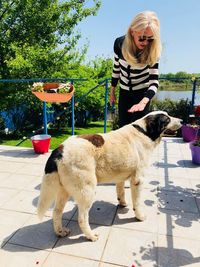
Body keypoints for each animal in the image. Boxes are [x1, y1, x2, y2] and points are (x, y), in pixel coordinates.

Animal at [36, 111, 182, 243]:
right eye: (167, 119)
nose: (181, 121)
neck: (144, 132)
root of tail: (59, 149)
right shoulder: (138, 180)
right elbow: (137, 203)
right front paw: (139, 216)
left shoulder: (121, 177)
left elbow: (121, 191)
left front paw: (122, 203)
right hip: (87, 191)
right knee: (82, 219)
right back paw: (90, 236)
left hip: (64, 191)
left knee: (56, 212)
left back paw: (60, 231)